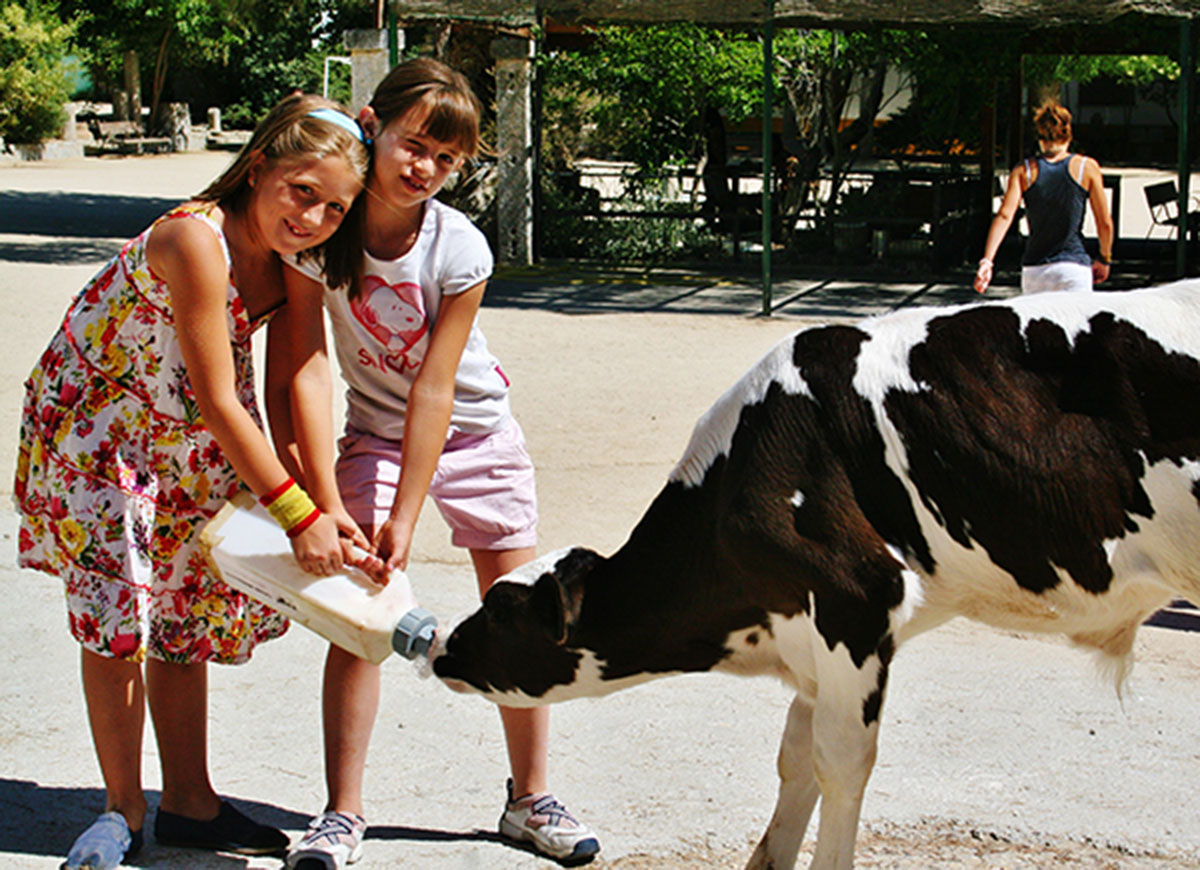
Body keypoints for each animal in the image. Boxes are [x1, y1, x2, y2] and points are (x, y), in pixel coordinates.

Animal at [431, 280, 1200, 870]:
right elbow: (794, 760)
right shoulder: (807, 636)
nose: (440, 647)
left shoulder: (855, 601)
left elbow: (840, 763)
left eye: (501, 610)